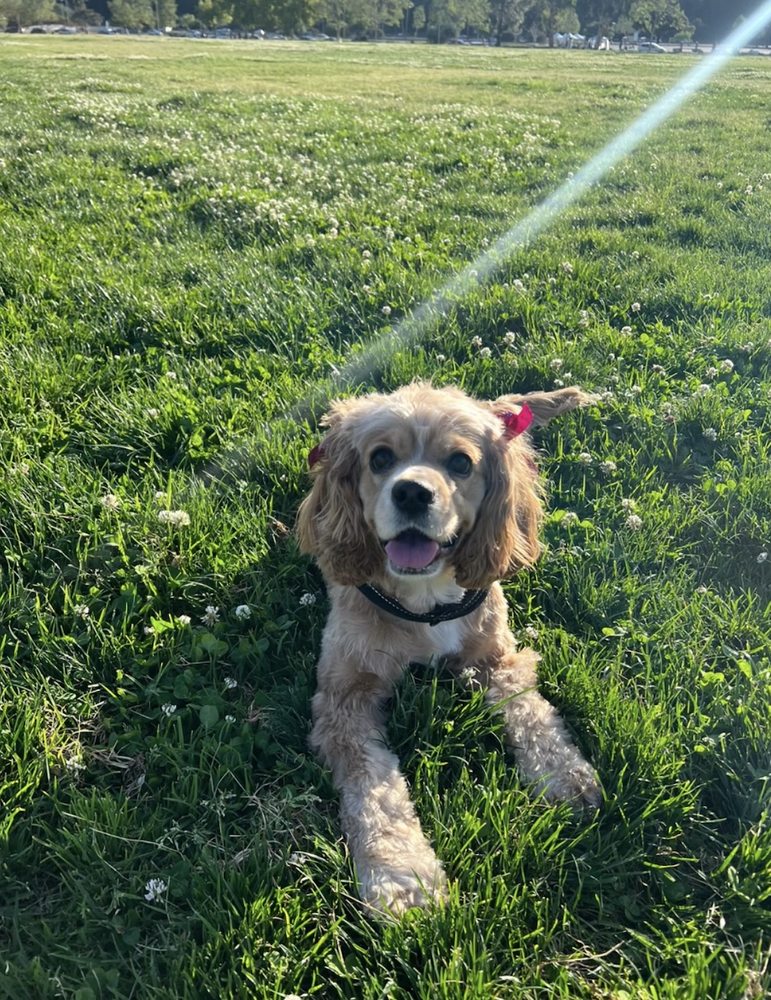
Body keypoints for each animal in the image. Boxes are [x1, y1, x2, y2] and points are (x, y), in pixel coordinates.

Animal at [298, 382, 601, 918]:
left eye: (461, 463)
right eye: (380, 458)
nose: (412, 491)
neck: (424, 598)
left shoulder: (495, 659)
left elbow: (533, 715)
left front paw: (565, 775)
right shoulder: (344, 700)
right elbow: (376, 794)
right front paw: (402, 879)